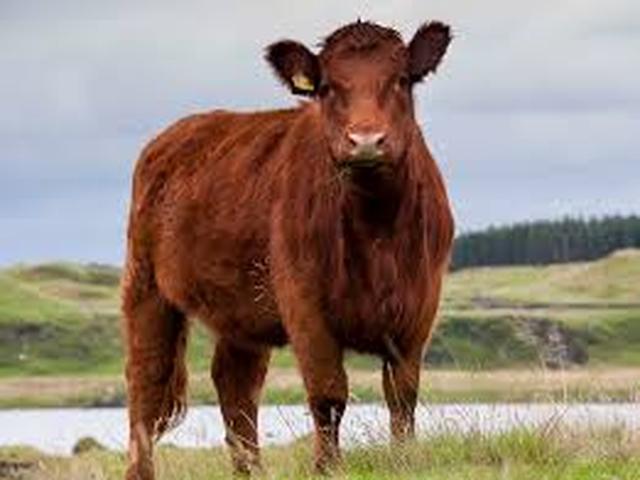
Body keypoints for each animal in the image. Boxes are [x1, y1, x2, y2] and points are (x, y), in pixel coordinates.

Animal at [122, 20, 454, 479]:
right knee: (147, 383)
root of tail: (175, 133)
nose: (366, 140)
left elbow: (402, 396)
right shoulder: (305, 305)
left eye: (401, 79)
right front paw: (327, 467)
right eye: (327, 87)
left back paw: (251, 470)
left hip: (241, 310)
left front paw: (403, 462)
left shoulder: (418, 310)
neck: (377, 228)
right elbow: (328, 395)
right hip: (146, 286)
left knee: (235, 384)